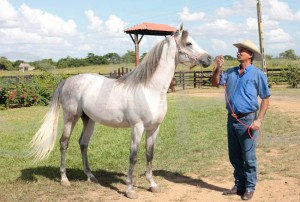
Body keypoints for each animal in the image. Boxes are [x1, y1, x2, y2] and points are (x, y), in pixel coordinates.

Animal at [29, 24, 212, 199]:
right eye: (189, 43)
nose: (209, 58)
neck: (149, 89)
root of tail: (67, 80)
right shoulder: (137, 127)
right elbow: (133, 156)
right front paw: (130, 190)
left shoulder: (154, 128)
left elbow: (149, 154)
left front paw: (152, 185)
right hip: (70, 118)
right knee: (64, 143)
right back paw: (64, 179)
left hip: (89, 119)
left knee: (83, 143)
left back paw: (91, 176)